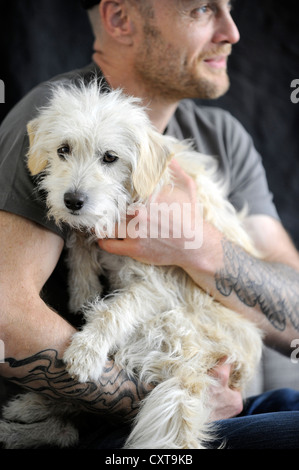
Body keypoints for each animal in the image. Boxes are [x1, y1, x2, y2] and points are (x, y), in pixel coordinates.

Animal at [0, 82, 262, 450]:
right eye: (63, 150)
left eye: (110, 157)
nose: (73, 200)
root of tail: (193, 368)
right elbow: (80, 239)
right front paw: (83, 287)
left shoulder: (156, 285)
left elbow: (115, 310)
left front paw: (87, 350)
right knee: (69, 428)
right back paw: (23, 415)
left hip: (167, 327)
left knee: (73, 422)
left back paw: (28, 415)